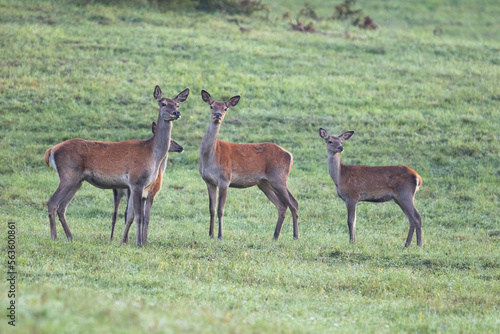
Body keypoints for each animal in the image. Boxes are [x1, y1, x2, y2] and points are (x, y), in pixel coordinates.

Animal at [43, 85, 189, 248]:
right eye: (163, 103)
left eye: (177, 104)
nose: (176, 113)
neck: (153, 155)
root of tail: (51, 150)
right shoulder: (137, 182)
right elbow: (138, 215)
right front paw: (139, 243)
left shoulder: (132, 186)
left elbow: (130, 215)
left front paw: (127, 241)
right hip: (68, 175)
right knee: (52, 203)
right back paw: (54, 237)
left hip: (77, 181)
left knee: (62, 207)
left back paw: (70, 237)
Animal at [199, 90, 298, 239]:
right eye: (211, 106)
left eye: (225, 108)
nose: (218, 115)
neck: (210, 157)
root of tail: (290, 155)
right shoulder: (209, 181)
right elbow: (212, 209)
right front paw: (210, 234)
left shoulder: (225, 179)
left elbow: (221, 209)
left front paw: (220, 235)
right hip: (264, 183)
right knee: (282, 205)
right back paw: (275, 236)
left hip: (278, 178)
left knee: (293, 203)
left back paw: (295, 236)